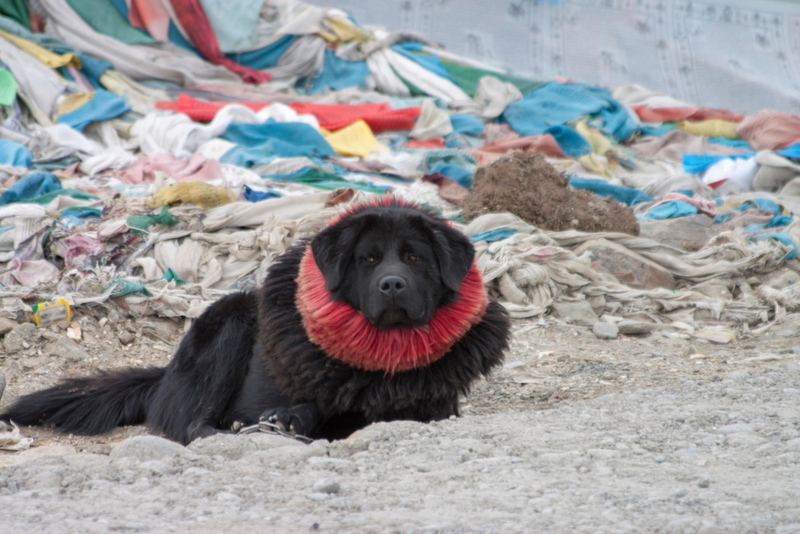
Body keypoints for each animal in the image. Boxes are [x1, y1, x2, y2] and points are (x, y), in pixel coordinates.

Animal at [0, 199, 510, 446]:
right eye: (367, 259)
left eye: (414, 257)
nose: (392, 285)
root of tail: (165, 374)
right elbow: (320, 410)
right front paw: (287, 420)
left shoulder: (434, 406)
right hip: (232, 322)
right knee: (192, 425)